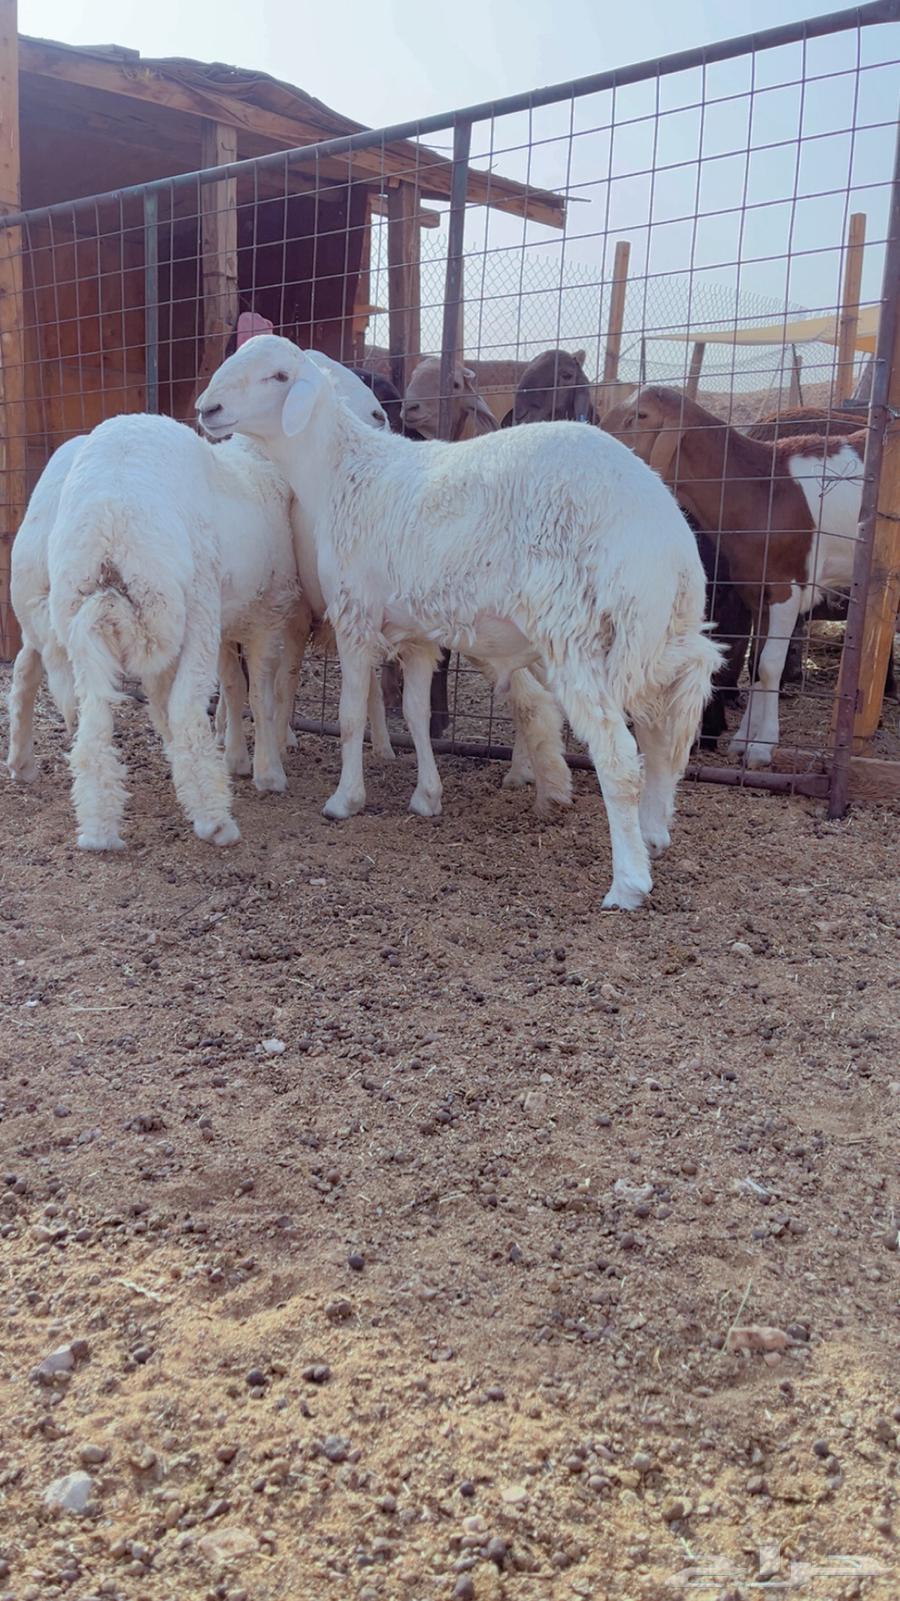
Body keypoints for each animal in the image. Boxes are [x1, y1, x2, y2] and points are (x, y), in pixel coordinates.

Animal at [7, 414, 306, 849]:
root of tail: (110, 521)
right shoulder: (266, 614)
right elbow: (258, 694)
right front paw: (268, 772)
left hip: (77, 616)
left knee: (73, 707)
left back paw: (89, 822)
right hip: (192, 604)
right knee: (185, 710)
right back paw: (215, 821)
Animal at [197, 335, 721, 910]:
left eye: (278, 375)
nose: (207, 409)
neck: (340, 474)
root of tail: (663, 534)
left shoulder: (356, 615)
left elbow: (351, 717)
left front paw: (345, 800)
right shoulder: (417, 634)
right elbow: (415, 712)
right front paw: (426, 796)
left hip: (579, 631)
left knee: (619, 755)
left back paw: (628, 881)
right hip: (654, 636)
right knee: (663, 736)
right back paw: (654, 834)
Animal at [602, 386, 866, 768]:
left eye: (641, 415)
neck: (763, 490)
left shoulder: (786, 588)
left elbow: (770, 664)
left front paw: (762, 747)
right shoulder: (757, 590)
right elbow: (755, 664)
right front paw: (742, 740)